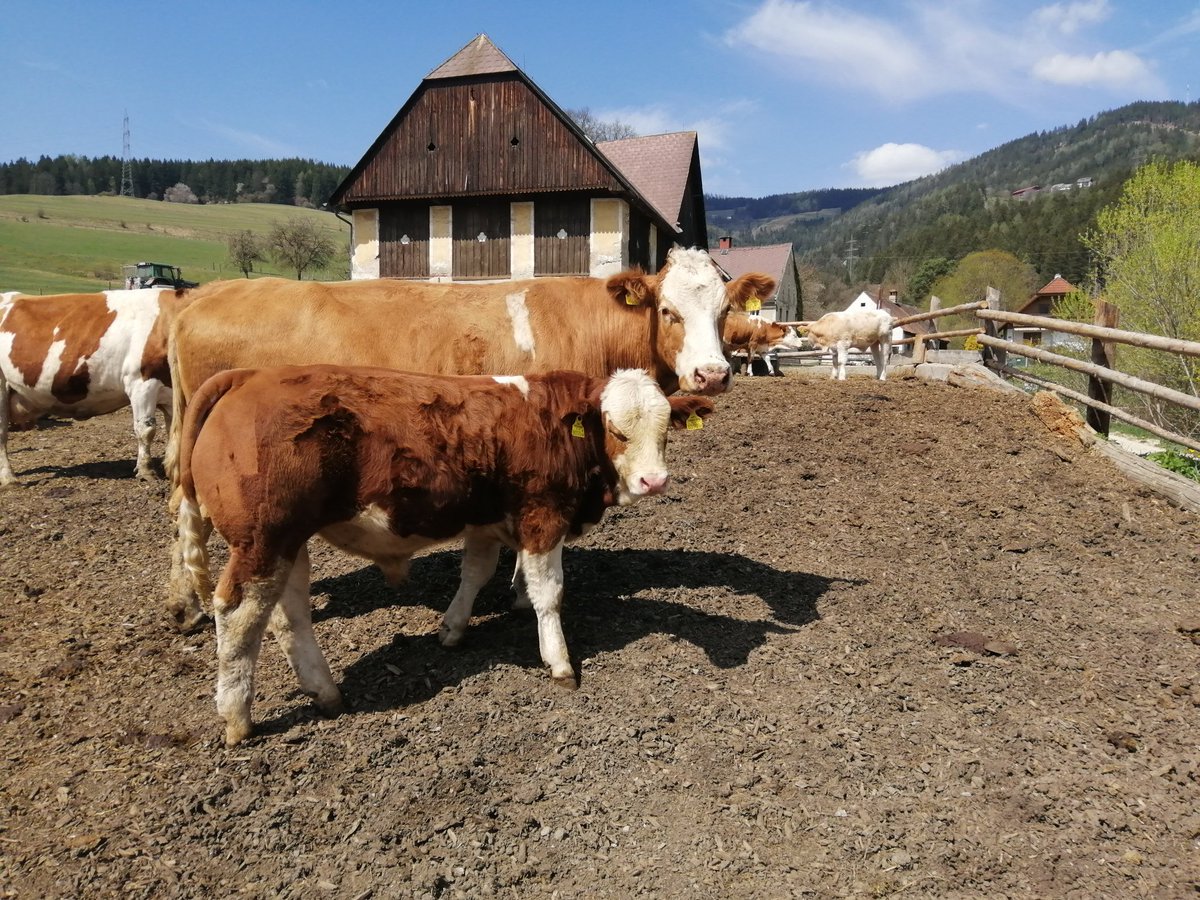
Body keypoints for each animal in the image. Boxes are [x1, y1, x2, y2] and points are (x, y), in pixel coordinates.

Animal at [0, 288, 188, 486]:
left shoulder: (171, 394)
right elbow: (146, 430)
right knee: (1, 432)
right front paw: (146, 471)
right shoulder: (141, 383)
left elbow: (176, 432)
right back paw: (8, 478)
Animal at [164, 246, 773, 629]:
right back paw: (193, 605)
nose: (713, 374)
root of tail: (201, 298)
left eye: (724, 310)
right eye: (668, 311)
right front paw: (522, 595)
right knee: (190, 518)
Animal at [173, 365, 714, 745]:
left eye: (666, 429)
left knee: (289, 616)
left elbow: (475, 573)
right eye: (615, 428)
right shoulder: (543, 518)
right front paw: (559, 663)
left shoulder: (486, 522)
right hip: (262, 541)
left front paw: (452, 630)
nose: (653, 481)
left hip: (289, 543)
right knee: (238, 616)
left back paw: (325, 692)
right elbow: (548, 594)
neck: (552, 422)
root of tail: (248, 375)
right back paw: (237, 717)